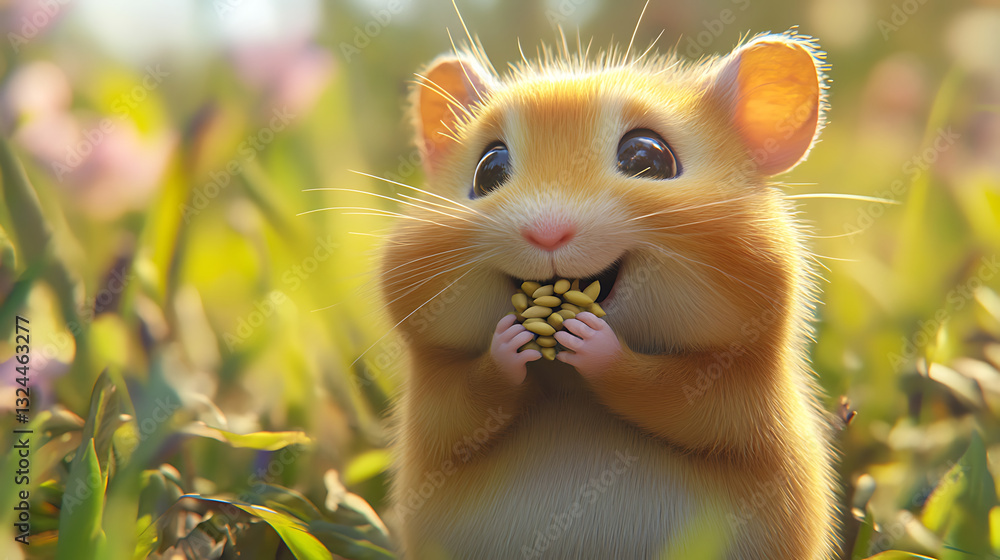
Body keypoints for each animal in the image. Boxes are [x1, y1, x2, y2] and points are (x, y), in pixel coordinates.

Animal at [380, 28, 838, 560]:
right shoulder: (434, 400)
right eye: (488, 170)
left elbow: (671, 395)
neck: (567, 382)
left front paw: (590, 339)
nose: (548, 232)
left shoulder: (741, 392)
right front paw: (508, 343)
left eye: (647, 158)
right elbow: (464, 407)